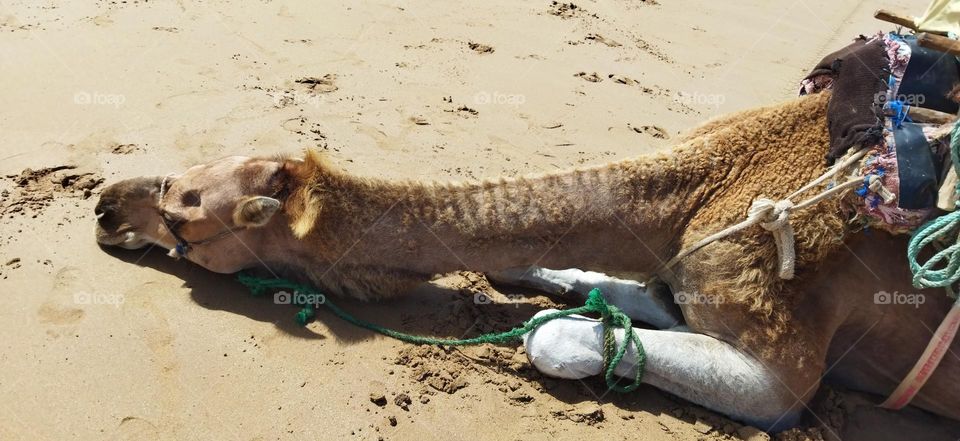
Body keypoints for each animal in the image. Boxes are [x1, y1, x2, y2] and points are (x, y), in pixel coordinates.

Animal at [92, 91, 960, 428]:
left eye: (186, 215)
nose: (105, 204)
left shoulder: (786, 371)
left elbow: (552, 333)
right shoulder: (678, 274)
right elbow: (588, 285)